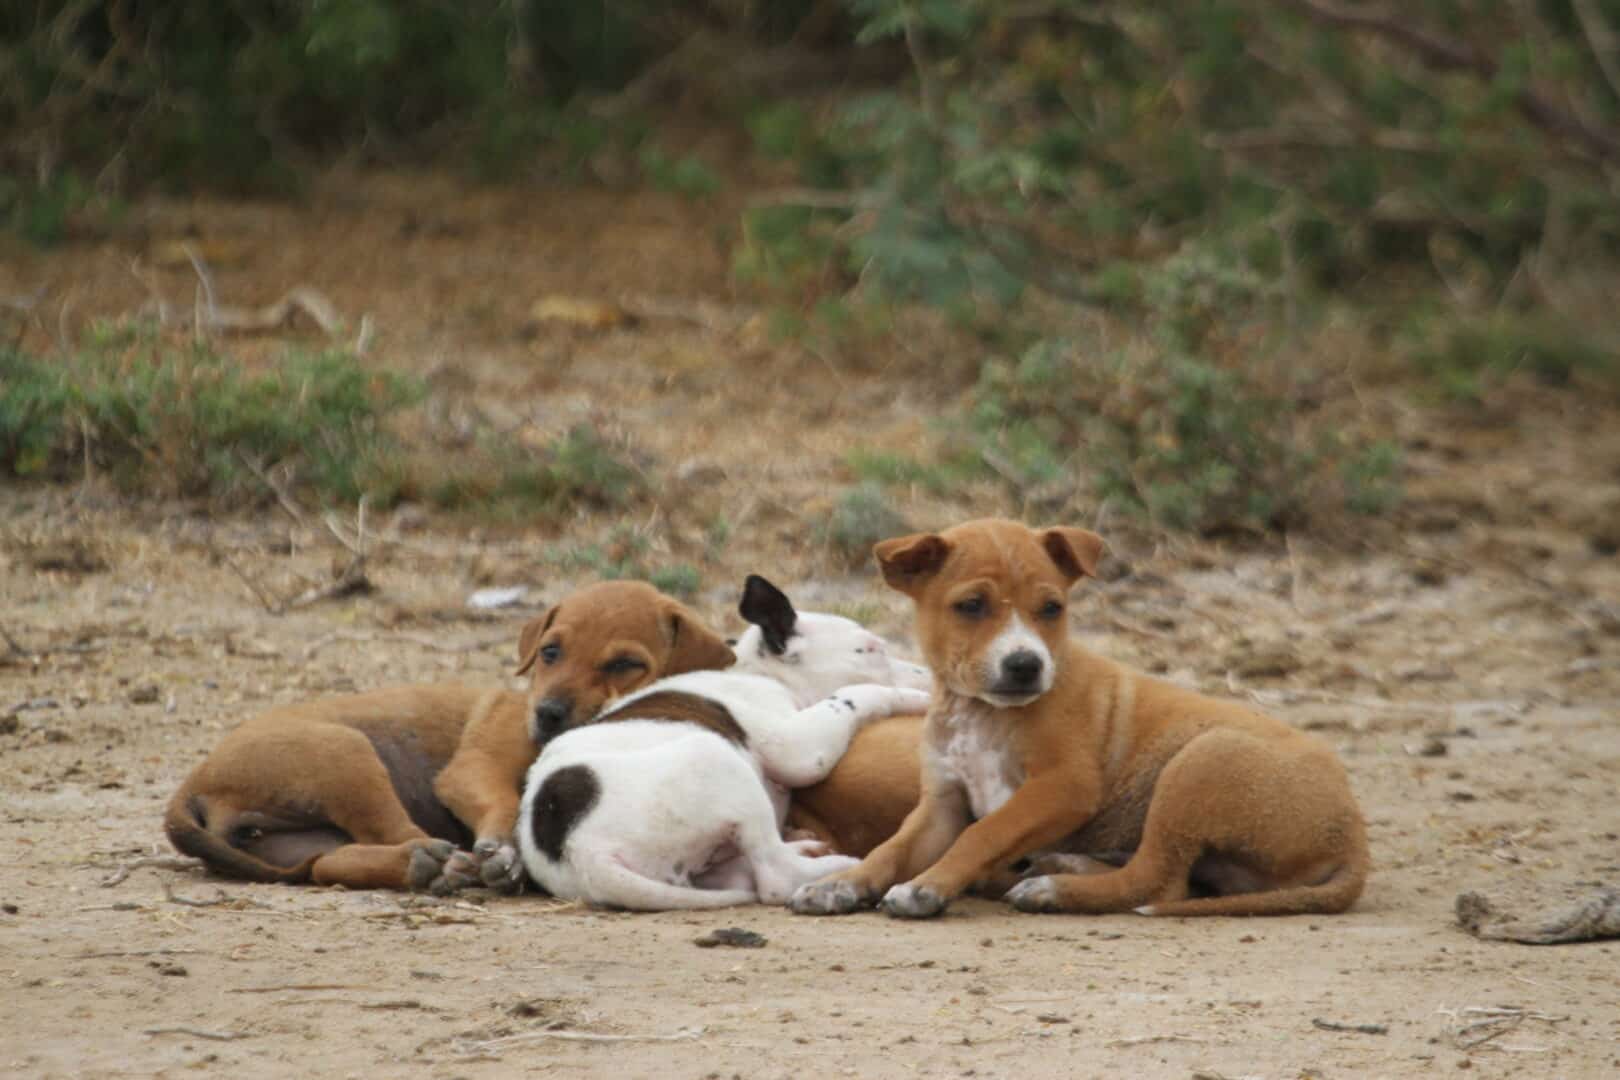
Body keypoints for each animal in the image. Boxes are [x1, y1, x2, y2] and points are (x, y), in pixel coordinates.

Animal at [511, 579, 933, 906]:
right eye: (872, 650)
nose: (928, 674)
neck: (758, 673)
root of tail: (580, 851)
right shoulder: (797, 749)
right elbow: (857, 693)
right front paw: (917, 698)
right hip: (717, 760)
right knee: (776, 877)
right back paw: (837, 867)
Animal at [784, 518, 1367, 919]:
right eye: (971, 605)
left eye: (1052, 609)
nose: (1025, 664)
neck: (983, 713)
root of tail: (1354, 833)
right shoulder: (943, 800)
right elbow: (892, 847)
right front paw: (842, 883)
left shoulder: (1063, 786)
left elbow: (987, 831)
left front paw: (927, 887)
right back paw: (1061, 868)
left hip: (1201, 762)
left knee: (1156, 881)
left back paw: (1054, 888)